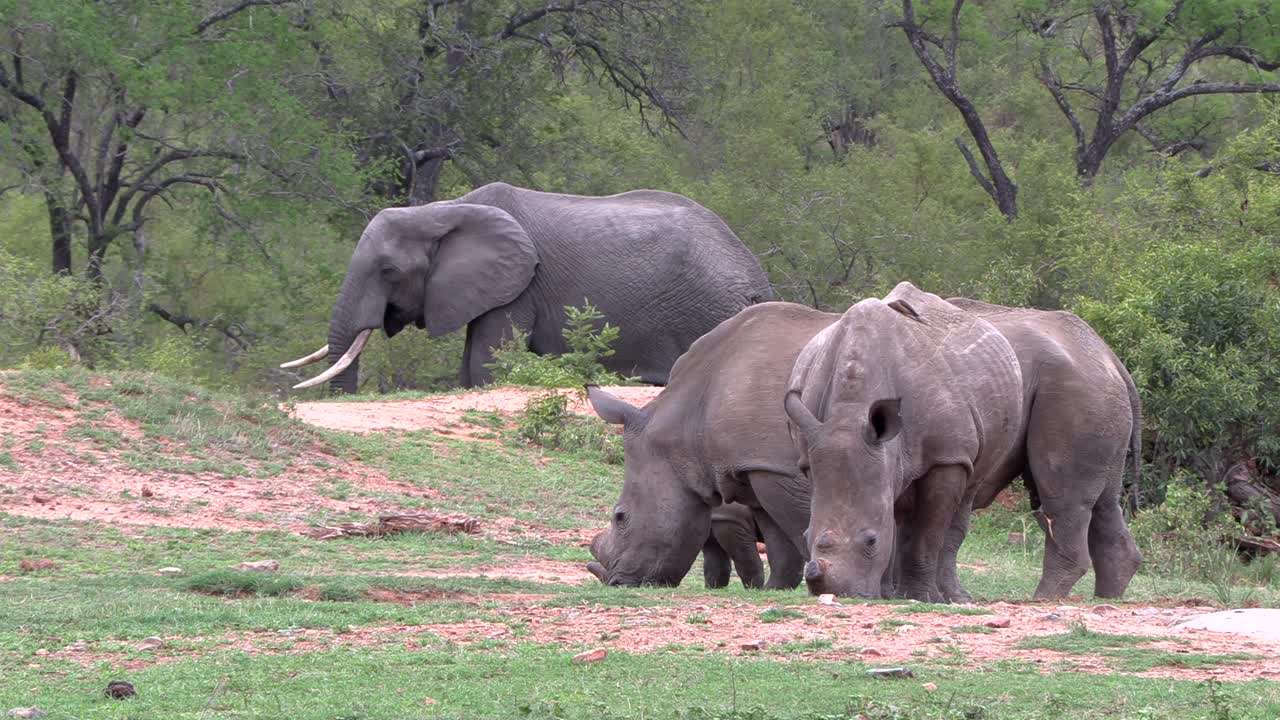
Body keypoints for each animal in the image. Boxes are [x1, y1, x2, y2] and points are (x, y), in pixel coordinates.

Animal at [584, 301, 841, 588]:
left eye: (620, 516)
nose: (616, 582)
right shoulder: (757, 464)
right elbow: (778, 539)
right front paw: (776, 588)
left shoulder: (779, 467)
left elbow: (800, 524)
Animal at [785, 282, 1025, 602]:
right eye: (805, 537)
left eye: (871, 541)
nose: (839, 592)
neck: (850, 411)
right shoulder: (816, 452)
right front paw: (891, 594)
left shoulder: (947, 456)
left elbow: (928, 534)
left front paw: (924, 598)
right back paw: (894, 592)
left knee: (965, 496)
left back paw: (954, 597)